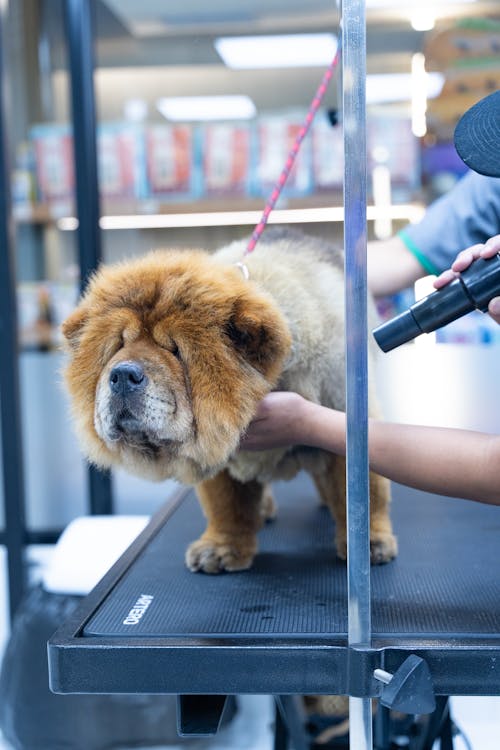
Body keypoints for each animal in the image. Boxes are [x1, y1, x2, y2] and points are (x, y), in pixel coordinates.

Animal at [63, 229, 398, 576]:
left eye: (176, 351)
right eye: (118, 346)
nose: (122, 374)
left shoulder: (344, 422)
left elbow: (361, 495)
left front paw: (369, 543)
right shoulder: (214, 451)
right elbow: (226, 504)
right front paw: (222, 548)